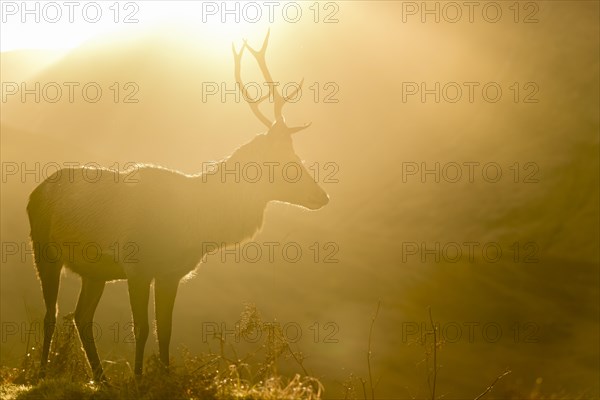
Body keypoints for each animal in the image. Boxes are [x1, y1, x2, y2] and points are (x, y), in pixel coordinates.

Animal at [27, 30, 328, 382]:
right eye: (286, 160)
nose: (322, 196)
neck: (191, 225)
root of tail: (35, 192)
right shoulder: (137, 265)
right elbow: (142, 328)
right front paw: (138, 380)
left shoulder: (170, 273)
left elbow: (165, 330)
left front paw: (162, 377)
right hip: (44, 249)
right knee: (51, 313)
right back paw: (42, 373)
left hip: (94, 270)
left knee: (81, 317)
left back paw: (102, 379)